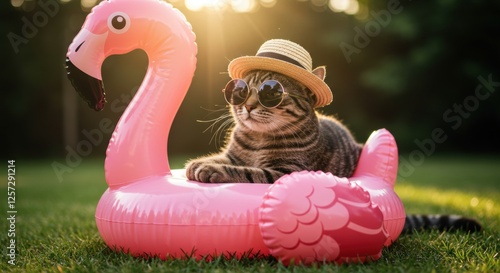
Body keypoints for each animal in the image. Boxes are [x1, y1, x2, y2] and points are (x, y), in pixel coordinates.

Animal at [186, 69, 482, 232]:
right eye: (241, 91)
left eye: (270, 93)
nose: (246, 106)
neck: (259, 138)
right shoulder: (234, 154)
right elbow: (226, 158)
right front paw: (198, 163)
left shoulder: (284, 171)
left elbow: (247, 171)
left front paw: (210, 169)